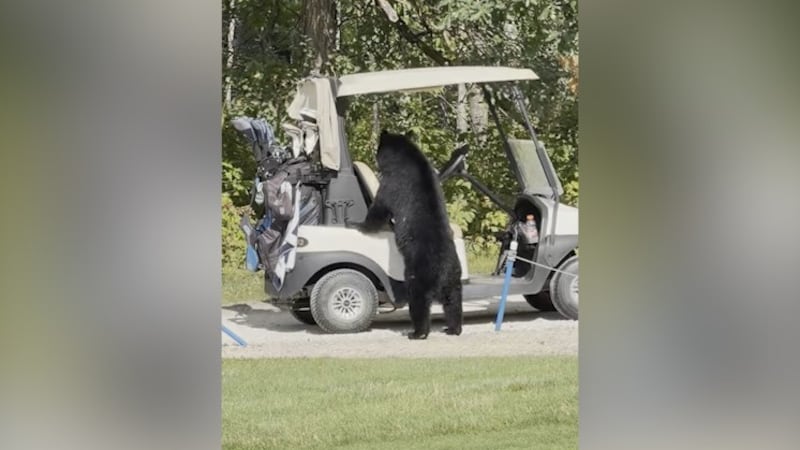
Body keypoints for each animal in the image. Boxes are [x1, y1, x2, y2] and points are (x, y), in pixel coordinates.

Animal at [351, 130, 463, 339]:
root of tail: (443, 271)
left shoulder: (392, 183)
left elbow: (379, 209)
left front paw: (357, 224)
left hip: (418, 274)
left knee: (418, 302)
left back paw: (417, 332)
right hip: (453, 279)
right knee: (453, 303)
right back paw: (453, 328)